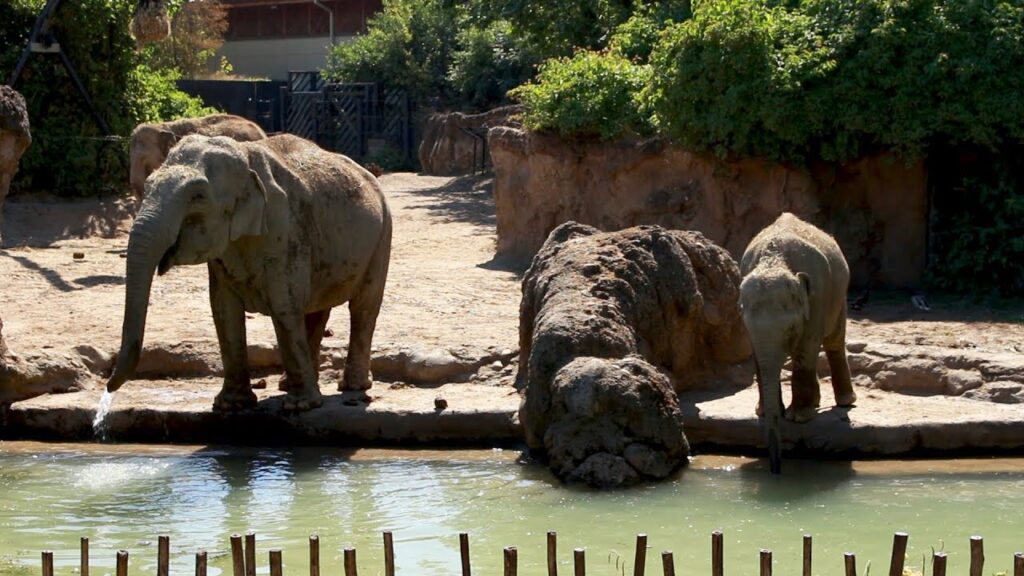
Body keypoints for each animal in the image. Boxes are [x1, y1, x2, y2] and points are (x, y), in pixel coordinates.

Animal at [737, 211, 856, 471]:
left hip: (839, 296)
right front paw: (764, 414)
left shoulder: (817, 296)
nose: (775, 469)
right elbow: (758, 357)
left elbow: (806, 348)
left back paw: (844, 403)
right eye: (746, 326)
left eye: (790, 329)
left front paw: (798, 418)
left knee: (833, 342)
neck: (774, 260)